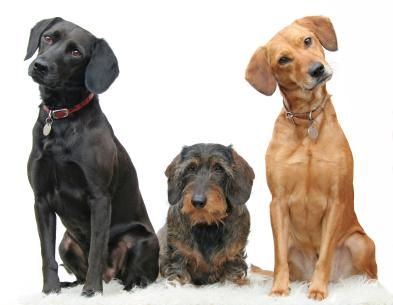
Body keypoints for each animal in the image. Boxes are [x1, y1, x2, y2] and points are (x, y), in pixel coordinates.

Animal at [24, 16, 158, 294]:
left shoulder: (99, 198)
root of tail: (111, 276)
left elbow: (97, 249)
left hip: (141, 240)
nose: (40, 66)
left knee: (135, 277)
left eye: (76, 52)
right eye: (48, 38)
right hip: (66, 242)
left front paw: (92, 292)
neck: (61, 116)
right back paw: (70, 284)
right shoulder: (41, 199)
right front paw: (50, 291)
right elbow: (46, 253)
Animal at [158, 144, 254, 284]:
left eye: (218, 168)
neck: (207, 224)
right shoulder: (177, 254)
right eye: (191, 168)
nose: (198, 201)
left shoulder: (233, 256)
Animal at [245, 15, 376, 298]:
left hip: (361, 242)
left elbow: (324, 255)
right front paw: (279, 290)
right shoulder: (277, 203)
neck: (307, 121)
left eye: (307, 40)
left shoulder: (336, 200)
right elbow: (278, 257)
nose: (317, 69)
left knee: (370, 275)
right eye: (283, 59)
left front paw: (317, 290)